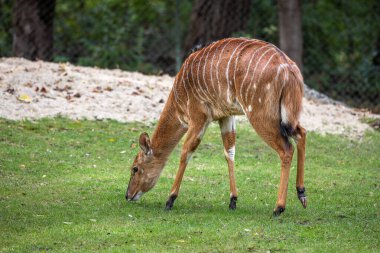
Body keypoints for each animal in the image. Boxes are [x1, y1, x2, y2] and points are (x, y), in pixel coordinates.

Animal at [126, 37, 308, 215]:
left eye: (135, 168)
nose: (128, 195)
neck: (179, 96)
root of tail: (289, 69)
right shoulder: (226, 116)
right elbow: (229, 152)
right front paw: (233, 200)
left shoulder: (198, 116)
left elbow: (186, 151)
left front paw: (170, 200)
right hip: (286, 116)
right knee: (301, 133)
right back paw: (301, 193)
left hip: (259, 114)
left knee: (286, 149)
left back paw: (279, 207)